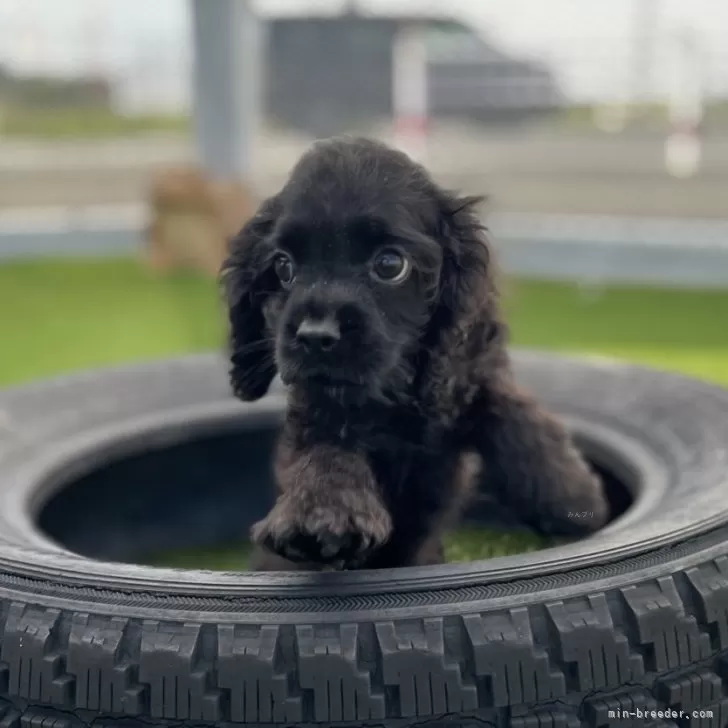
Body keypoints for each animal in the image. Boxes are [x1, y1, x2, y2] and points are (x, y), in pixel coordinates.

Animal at [220, 135, 608, 568]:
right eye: (283, 267)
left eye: (390, 264)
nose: (316, 335)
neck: (393, 396)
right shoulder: (319, 406)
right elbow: (325, 451)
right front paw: (320, 512)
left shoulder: (464, 376)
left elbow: (514, 414)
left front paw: (575, 498)